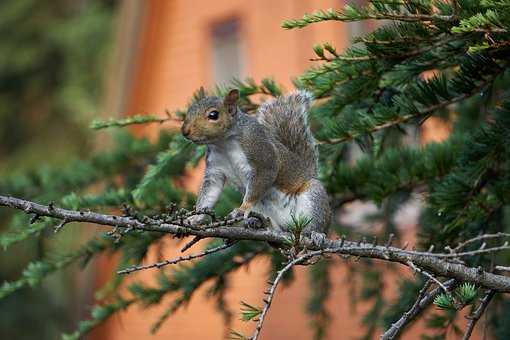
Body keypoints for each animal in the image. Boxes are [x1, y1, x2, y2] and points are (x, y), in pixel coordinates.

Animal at [180, 88, 330, 242]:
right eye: (189, 110)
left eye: (213, 115)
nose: (185, 131)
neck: (223, 143)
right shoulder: (215, 169)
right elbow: (209, 193)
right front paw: (194, 218)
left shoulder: (261, 151)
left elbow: (265, 174)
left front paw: (242, 209)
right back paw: (256, 222)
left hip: (313, 197)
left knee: (315, 223)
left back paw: (316, 234)